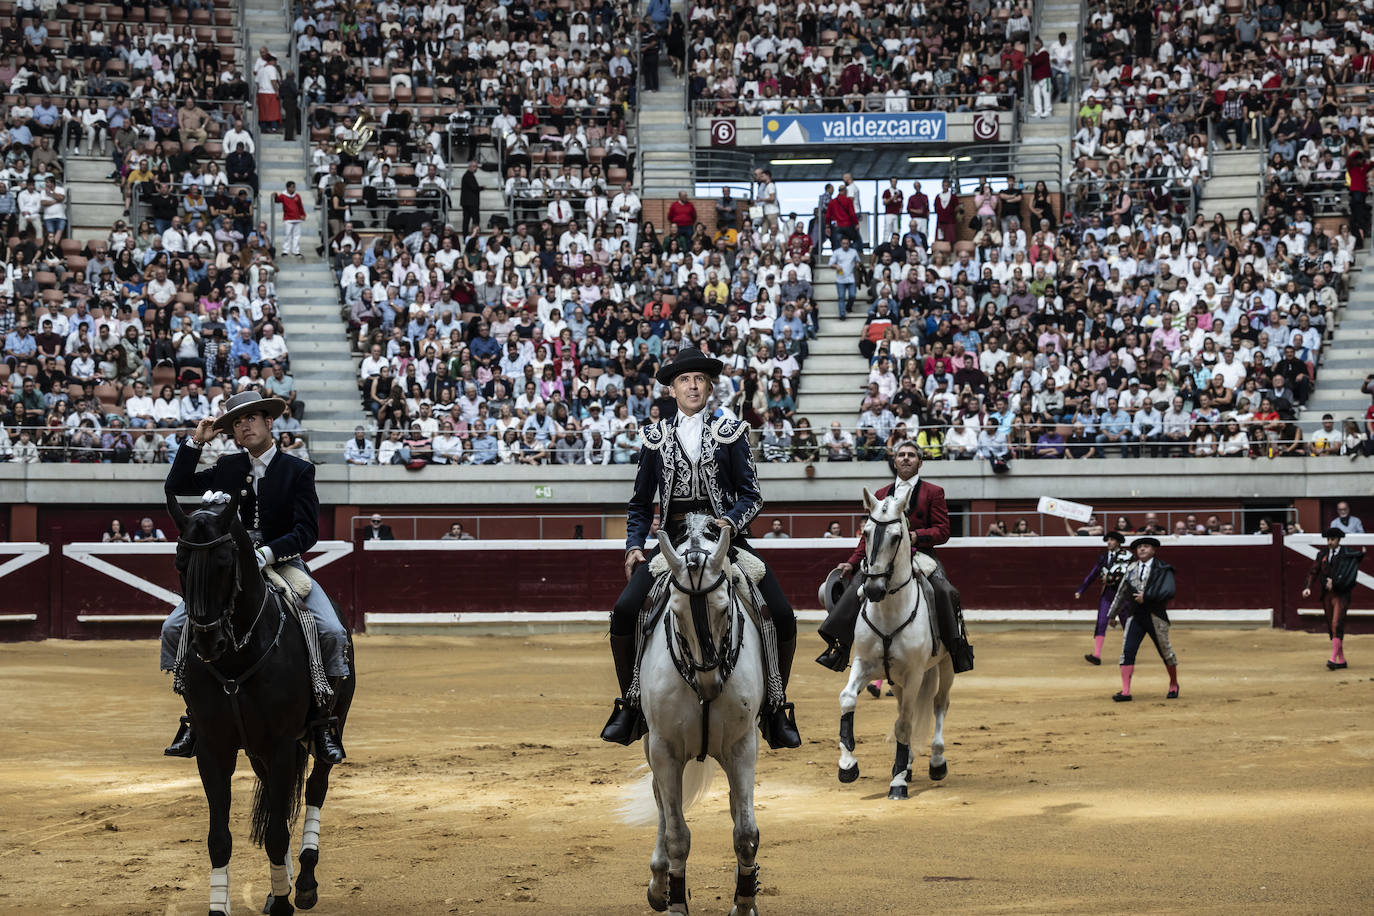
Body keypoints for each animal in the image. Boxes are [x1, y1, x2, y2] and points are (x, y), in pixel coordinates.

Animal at [166, 497, 357, 911]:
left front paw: (285, 902)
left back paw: (304, 884)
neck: (235, 659)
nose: (207, 641)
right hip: (257, 752)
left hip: (329, 724)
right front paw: (220, 906)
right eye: (180, 561)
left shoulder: (282, 744)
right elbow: (220, 839)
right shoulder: (214, 747)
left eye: (225, 560)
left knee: (315, 789)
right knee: (275, 803)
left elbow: (275, 834)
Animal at [626, 516, 769, 916]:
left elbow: (746, 832)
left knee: (736, 809)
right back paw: (659, 884)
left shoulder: (742, 746)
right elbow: (677, 833)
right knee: (661, 801)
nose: (708, 682)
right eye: (675, 612)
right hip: (650, 743)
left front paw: (744, 901)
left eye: (724, 608)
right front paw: (675, 900)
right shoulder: (665, 749)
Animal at [835, 491, 956, 796]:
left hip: (946, 665)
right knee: (905, 708)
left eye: (897, 536)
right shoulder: (864, 663)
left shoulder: (914, 673)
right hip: (898, 679)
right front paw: (847, 765)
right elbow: (848, 698)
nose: (873, 589)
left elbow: (904, 723)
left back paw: (936, 761)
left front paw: (898, 783)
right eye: (865, 532)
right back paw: (908, 763)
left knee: (939, 703)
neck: (890, 610)